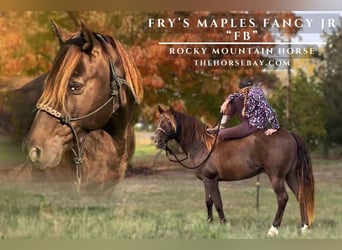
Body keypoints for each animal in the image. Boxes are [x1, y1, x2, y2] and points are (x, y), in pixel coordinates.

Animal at [155, 105, 316, 236]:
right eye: (159, 121)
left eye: (169, 122)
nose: (157, 141)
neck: (203, 144)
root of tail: (290, 134)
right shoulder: (206, 181)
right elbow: (208, 202)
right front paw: (209, 223)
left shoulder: (212, 180)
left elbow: (218, 203)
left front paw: (223, 224)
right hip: (290, 175)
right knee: (301, 196)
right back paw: (304, 227)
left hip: (276, 177)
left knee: (282, 199)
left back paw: (273, 229)